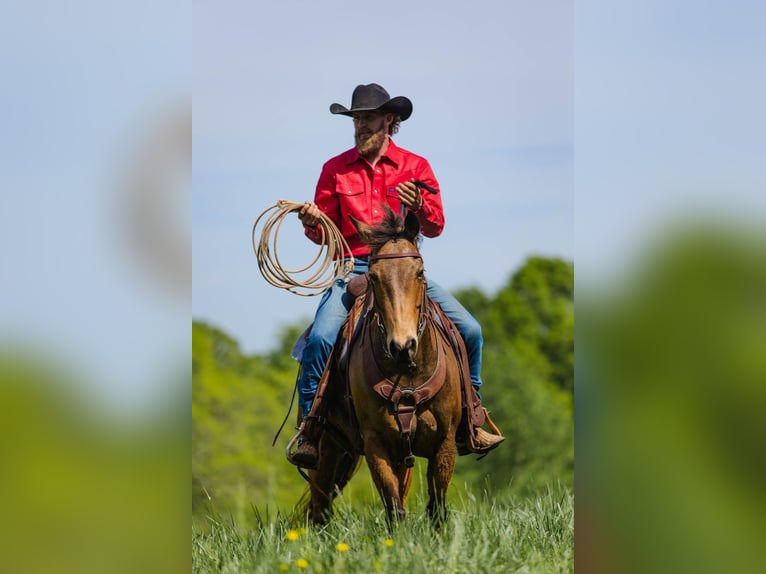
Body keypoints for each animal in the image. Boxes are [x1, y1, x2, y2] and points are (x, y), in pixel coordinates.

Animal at [301, 207, 464, 527]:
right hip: (326, 449)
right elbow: (394, 508)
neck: (408, 372)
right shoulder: (377, 443)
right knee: (319, 507)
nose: (402, 346)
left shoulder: (445, 442)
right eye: (374, 278)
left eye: (419, 272)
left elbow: (436, 507)